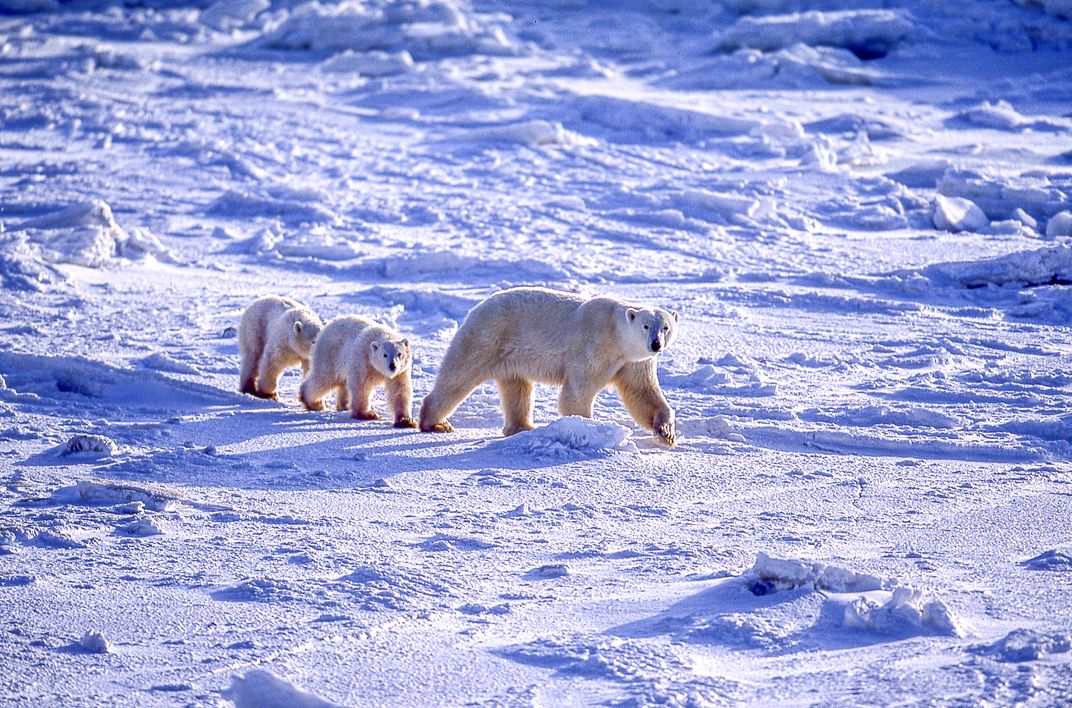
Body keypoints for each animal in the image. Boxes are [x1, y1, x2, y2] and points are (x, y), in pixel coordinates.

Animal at [418, 286, 679, 446]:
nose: (655, 344)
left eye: (665, 327)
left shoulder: (634, 362)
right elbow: (578, 391)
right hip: (487, 337)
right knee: (458, 375)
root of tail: (475, 308)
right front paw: (585, 427)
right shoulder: (594, 344)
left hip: (509, 357)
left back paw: (522, 427)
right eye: (646, 326)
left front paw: (666, 432)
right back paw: (436, 422)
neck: (616, 334)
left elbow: (642, 392)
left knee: (517, 389)